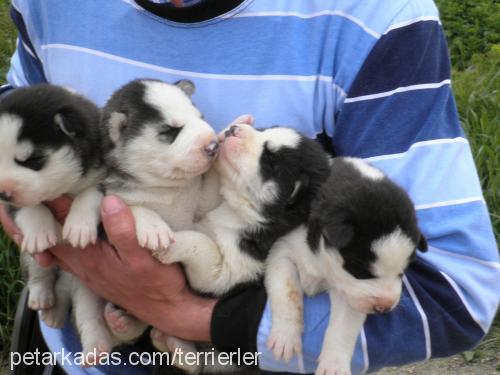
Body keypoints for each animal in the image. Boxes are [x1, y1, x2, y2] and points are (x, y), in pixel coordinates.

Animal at [0, 84, 114, 364]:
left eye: (33, 160)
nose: (2, 193)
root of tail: (67, 286)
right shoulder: (15, 205)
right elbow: (30, 206)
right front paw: (40, 230)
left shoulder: (107, 176)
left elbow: (90, 194)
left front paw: (79, 226)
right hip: (33, 260)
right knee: (40, 274)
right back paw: (43, 300)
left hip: (90, 289)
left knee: (89, 316)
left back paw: (96, 346)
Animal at [99, 79, 221, 344]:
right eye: (171, 132)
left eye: (201, 117)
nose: (213, 145)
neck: (166, 189)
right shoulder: (110, 203)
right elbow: (136, 207)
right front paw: (154, 227)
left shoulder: (201, 203)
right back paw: (121, 324)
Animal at [151, 119, 332, 374]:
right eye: (264, 131)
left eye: (271, 161)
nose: (235, 130)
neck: (235, 212)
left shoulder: (222, 277)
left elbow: (203, 245)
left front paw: (172, 245)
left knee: (194, 366)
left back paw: (175, 346)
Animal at [264, 157, 428, 375]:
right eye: (360, 270)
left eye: (403, 272)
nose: (384, 306)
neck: (321, 262)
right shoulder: (282, 253)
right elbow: (287, 295)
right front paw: (285, 336)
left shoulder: (350, 296)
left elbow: (342, 328)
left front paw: (334, 364)